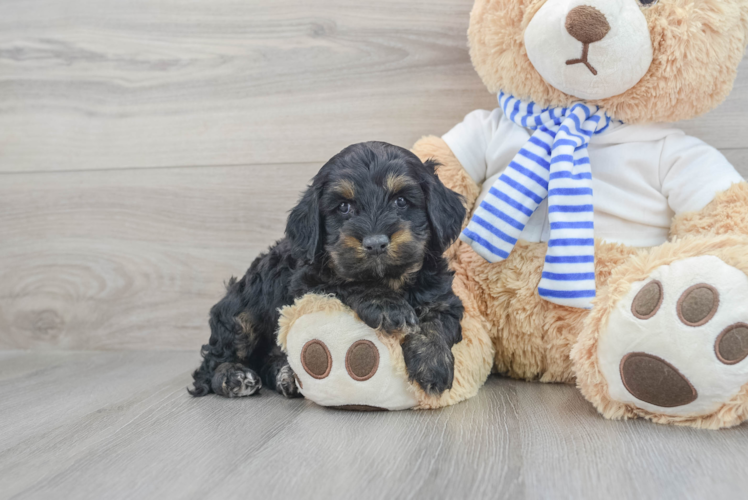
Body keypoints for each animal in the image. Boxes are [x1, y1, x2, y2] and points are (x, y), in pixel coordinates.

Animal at [190, 143, 464, 400]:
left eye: (401, 201)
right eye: (343, 207)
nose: (375, 243)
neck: (390, 279)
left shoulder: (442, 296)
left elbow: (438, 320)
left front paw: (433, 362)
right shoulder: (308, 283)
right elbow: (345, 282)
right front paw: (386, 305)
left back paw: (284, 376)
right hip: (241, 312)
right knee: (212, 362)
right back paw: (233, 376)